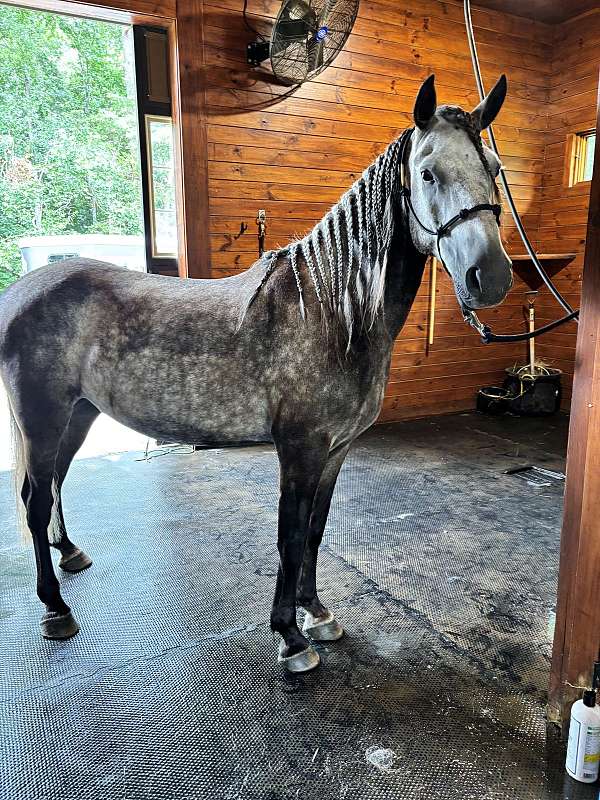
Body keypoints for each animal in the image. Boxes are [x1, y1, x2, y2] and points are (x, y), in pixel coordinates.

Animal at [0, 74, 512, 673]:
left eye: (494, 167)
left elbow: (314, 531)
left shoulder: (335, 451)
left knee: (55, 484)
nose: (490, 277)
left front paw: (318, 614)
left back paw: (70, 555)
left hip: (78, 415)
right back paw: (55, 609)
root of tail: (20, 292)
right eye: (428, 172)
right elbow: (289, 536)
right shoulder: (300, 448)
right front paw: (291, 637)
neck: (332, 311)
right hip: (42, 420)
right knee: (35, 501)